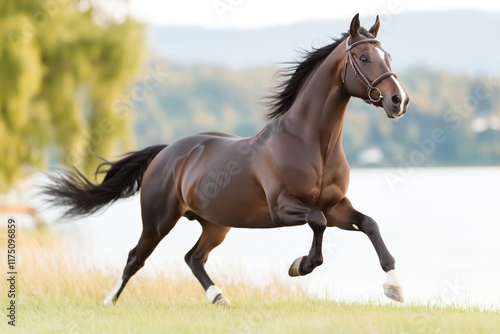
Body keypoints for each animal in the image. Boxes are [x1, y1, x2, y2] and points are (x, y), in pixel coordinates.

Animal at [42, 14, 410, 306]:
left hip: (215, 224)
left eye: (389, 56)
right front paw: (299, 266)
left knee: (194, 257)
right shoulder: (284, 206)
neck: (314, 145)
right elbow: (317, 223)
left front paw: (394, 288)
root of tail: (166, 151)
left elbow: (369, 224)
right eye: (364, 57)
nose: (399, 100)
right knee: (136, 258)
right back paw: (109, 300)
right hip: (158, 221)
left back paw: (219, 297)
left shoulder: (336, 206)